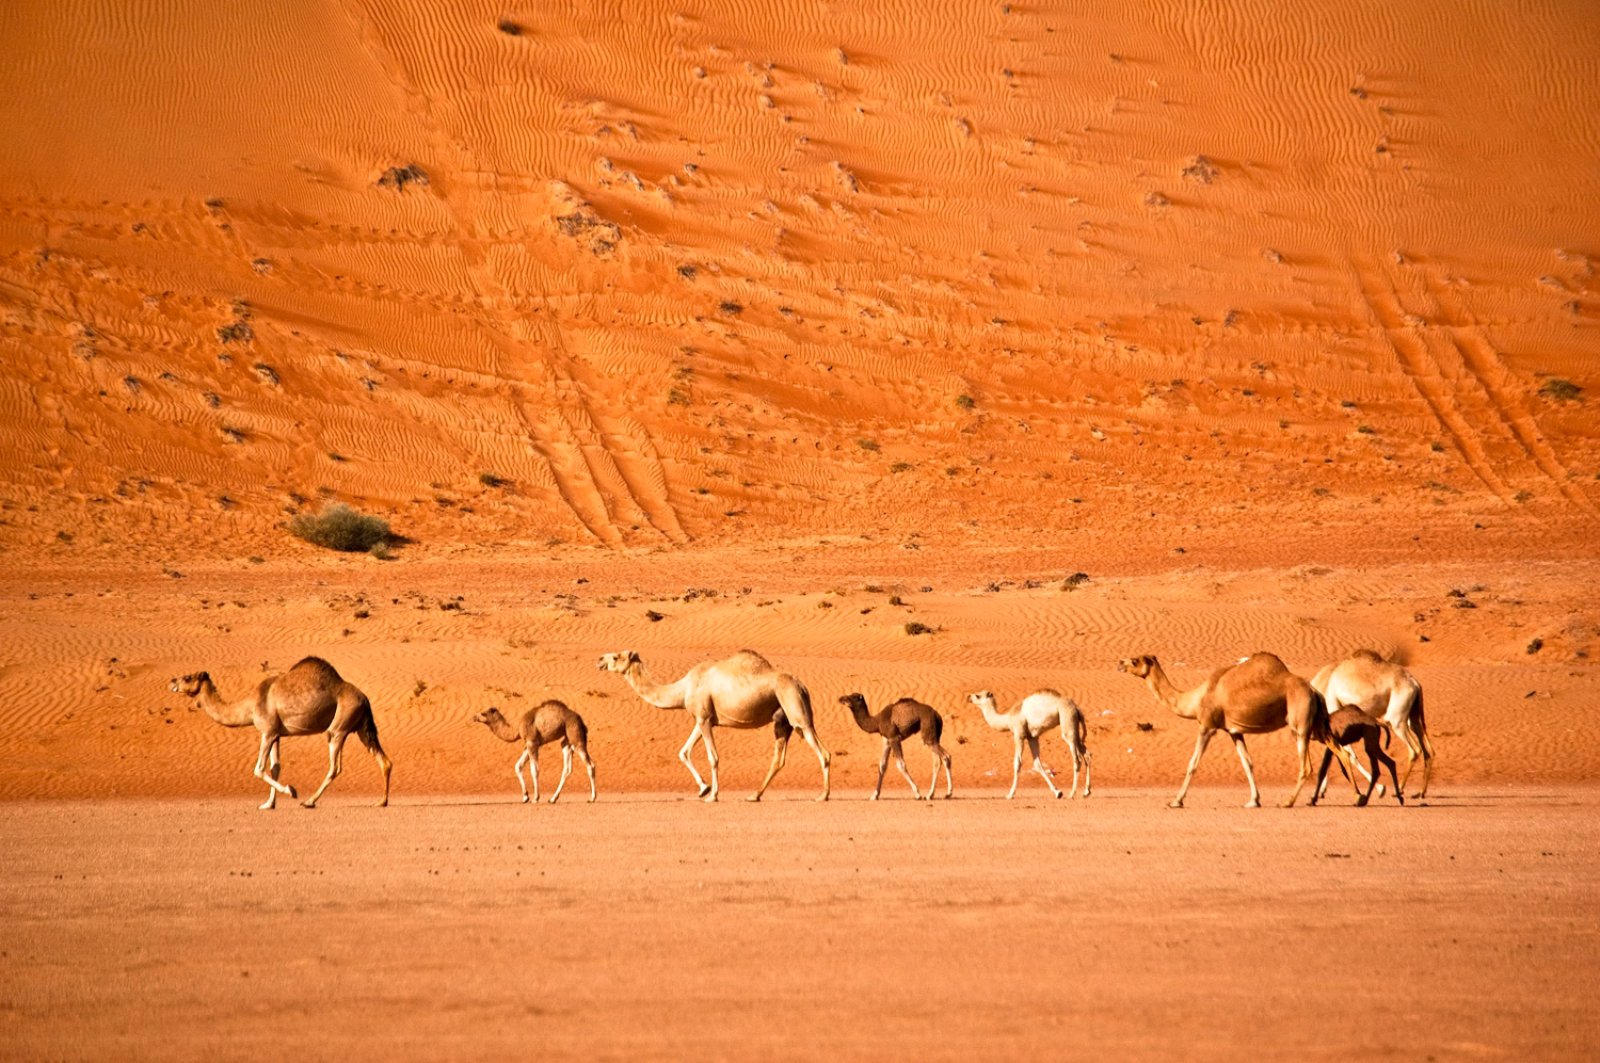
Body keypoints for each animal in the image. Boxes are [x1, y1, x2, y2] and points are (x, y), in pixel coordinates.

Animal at [170, 653, 392, 810]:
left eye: (187, 677)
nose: (172, 681)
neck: (250, 706)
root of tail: (364, 698)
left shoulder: (267, 732)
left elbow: (259, 769)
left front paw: (291, 791)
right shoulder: (277, 734)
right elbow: (276, 767)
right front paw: (269, 804)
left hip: (339, 726)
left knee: (335, 766)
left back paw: (309, 801)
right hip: (362, 727)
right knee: (384, 761)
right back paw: (381, 802)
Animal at [595, 653, 832, 800]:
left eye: (616, 656)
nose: (599, 660)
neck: (683, 688)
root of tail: (802, 686)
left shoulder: (704, 718)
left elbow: (713, 757)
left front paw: (712, 795)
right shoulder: (703, 719)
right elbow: (683, 752)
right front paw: (703, 788)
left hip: (795, 709)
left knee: (823, 751)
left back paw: (823, 795)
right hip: (782, 719)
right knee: (779, 758)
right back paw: (754, 795)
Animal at [960, 688, 1088, 797]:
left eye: (978, 696)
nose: (968, 697)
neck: (1008, 719)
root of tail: (1076, 708)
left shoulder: (1019, 734)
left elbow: (1017, 763)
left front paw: (1010, 794)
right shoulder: (1032, 737)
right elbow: (1037, 764)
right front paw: (1057, 792)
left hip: (1067, 722)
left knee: (1077, 759)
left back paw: (1072, 793)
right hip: (1075, 725)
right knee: (1086, 754)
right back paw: (1086, 792)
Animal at [1113, 653, 1324, 810]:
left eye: (1135, 660)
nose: (1119, 663)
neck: (1196, 699)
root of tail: (1313, 690)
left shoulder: (1207, 726)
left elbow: (1193, 763)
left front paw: (1176, 801)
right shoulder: (1234, 731)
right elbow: (1247, 763)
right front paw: (1253, 801)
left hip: (1300, 723)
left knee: (1306, 765)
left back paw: (1288, 802)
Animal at [1312, 646, 1440, 797]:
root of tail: (1416, 684)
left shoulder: (1333, 708)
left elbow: (1349, 755)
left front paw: (1380, 789)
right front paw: (1321, 791)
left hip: (1396, 719)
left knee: (1414, 749)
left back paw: (1399, 789)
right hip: (1413, 716)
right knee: (1428, 749)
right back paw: (1420, 792)